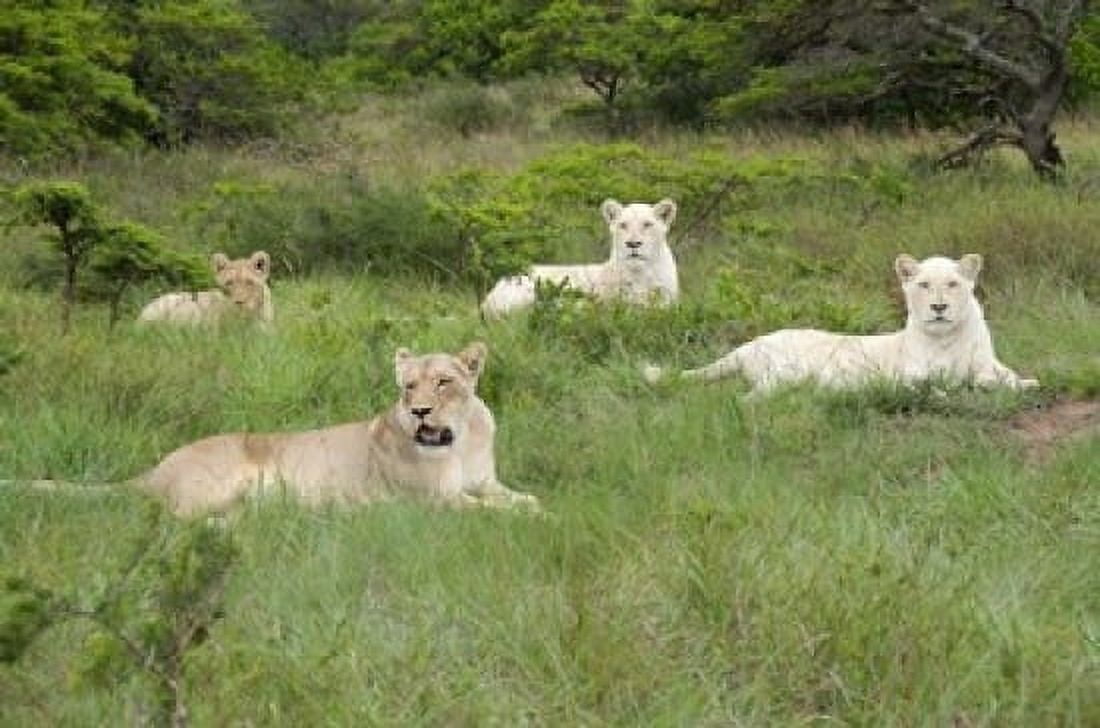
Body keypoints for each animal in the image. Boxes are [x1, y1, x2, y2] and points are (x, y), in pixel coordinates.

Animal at [133, 341, 539, 517]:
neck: (459, 440)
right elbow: (494, 510)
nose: (420, 411)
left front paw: (538, 508)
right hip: (218, 487)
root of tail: (153, 470)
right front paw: (537, 519)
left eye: (443, 382)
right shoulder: (437, 499)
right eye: (409, 386)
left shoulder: (485, 482)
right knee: (174, 521)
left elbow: (526, 499)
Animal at [644, 254, 1038, 393]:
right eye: (924, 284)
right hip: (787, 372)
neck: (947, 337)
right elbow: (935, 380)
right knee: (749, 398)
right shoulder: (912, 371)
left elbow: (1003, 376)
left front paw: (1025, 383)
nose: (939, 307)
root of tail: (751, 344)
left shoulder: (989, 362)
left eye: (953, 284)